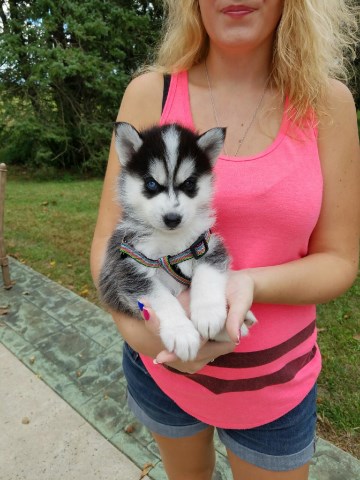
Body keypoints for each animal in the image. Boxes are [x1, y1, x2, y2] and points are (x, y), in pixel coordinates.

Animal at [98, 123, 256, 360]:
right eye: (151, 184)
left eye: (189, 183)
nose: (172, 218)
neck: (170, 242)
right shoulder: (128, 268)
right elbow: (162, 298)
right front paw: (182, 332)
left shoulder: (206, 246)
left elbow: (207, 275)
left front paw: (208, 313)